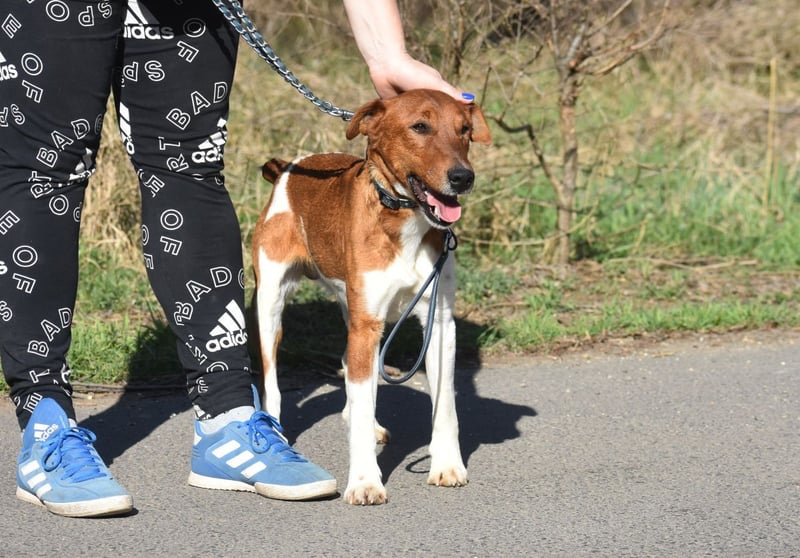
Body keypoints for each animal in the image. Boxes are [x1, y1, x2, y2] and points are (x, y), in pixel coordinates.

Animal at [252, 89, 491, 505]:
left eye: (464, 130)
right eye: (420, 126)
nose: (463, 177)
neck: (406, 223)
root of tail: (289, 168)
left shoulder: (439, 324)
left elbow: (445, 405)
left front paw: (446, 464)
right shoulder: (367, 326)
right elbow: (361, 407)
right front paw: (365, 481)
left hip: (352, 310)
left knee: (351, 372)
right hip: (270, 304)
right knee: (273, 381)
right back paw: (277, 430)